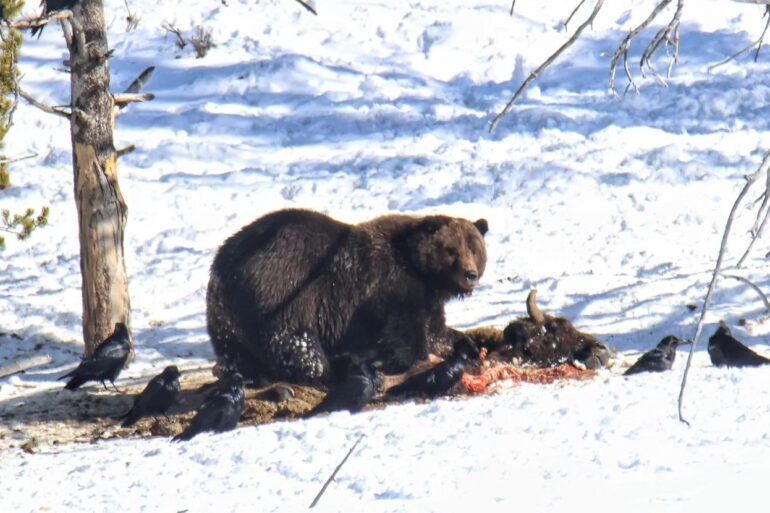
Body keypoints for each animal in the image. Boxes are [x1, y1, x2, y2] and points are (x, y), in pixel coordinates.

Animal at [206, 208, 488, 386]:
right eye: (452, 250)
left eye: (474, 249)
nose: (470, 275)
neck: (421, 272)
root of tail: (221, 266)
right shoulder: (394, 288)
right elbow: (406, 335)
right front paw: (418, 359)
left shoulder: (428, 298)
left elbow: (436, 331)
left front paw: (467, 343)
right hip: (281, 292)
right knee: (299, 345)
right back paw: (326, 373)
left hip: (228, 318)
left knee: (236, 352)